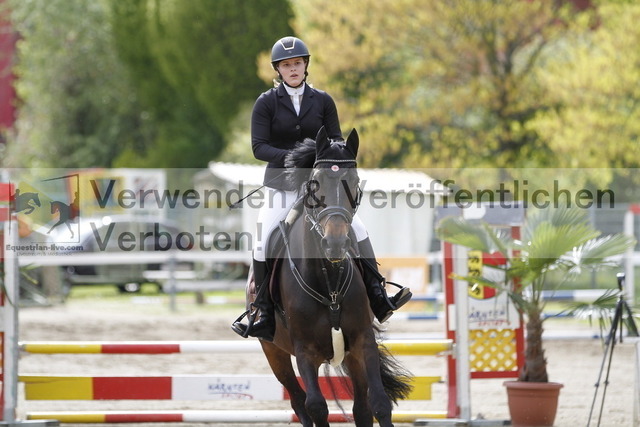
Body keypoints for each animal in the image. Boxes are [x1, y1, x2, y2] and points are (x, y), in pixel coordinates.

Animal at [257, 127, 412, 427]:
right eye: (315, 183)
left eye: (353, 181)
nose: (336, 244)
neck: (330, 284)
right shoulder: (304, 352)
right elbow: (316, 406)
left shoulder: (363, 341)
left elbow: (379, 403)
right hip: (274, 353)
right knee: (298, 402)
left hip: (351, 357)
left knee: (361, 407)